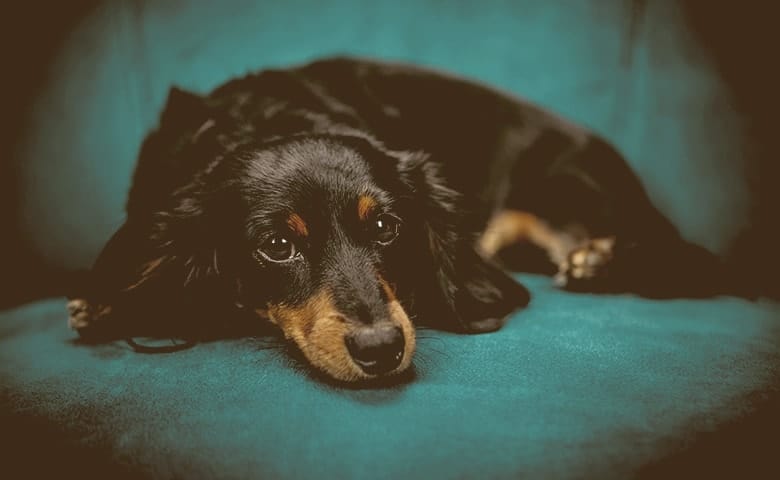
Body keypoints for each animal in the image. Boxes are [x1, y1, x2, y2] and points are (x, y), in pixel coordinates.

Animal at [65, 57, 736, 382]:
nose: (380, 350)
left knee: (696, 263)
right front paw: (108, 302)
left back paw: (600, 261)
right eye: (276, 244)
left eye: (387, 228)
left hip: (565, 185)